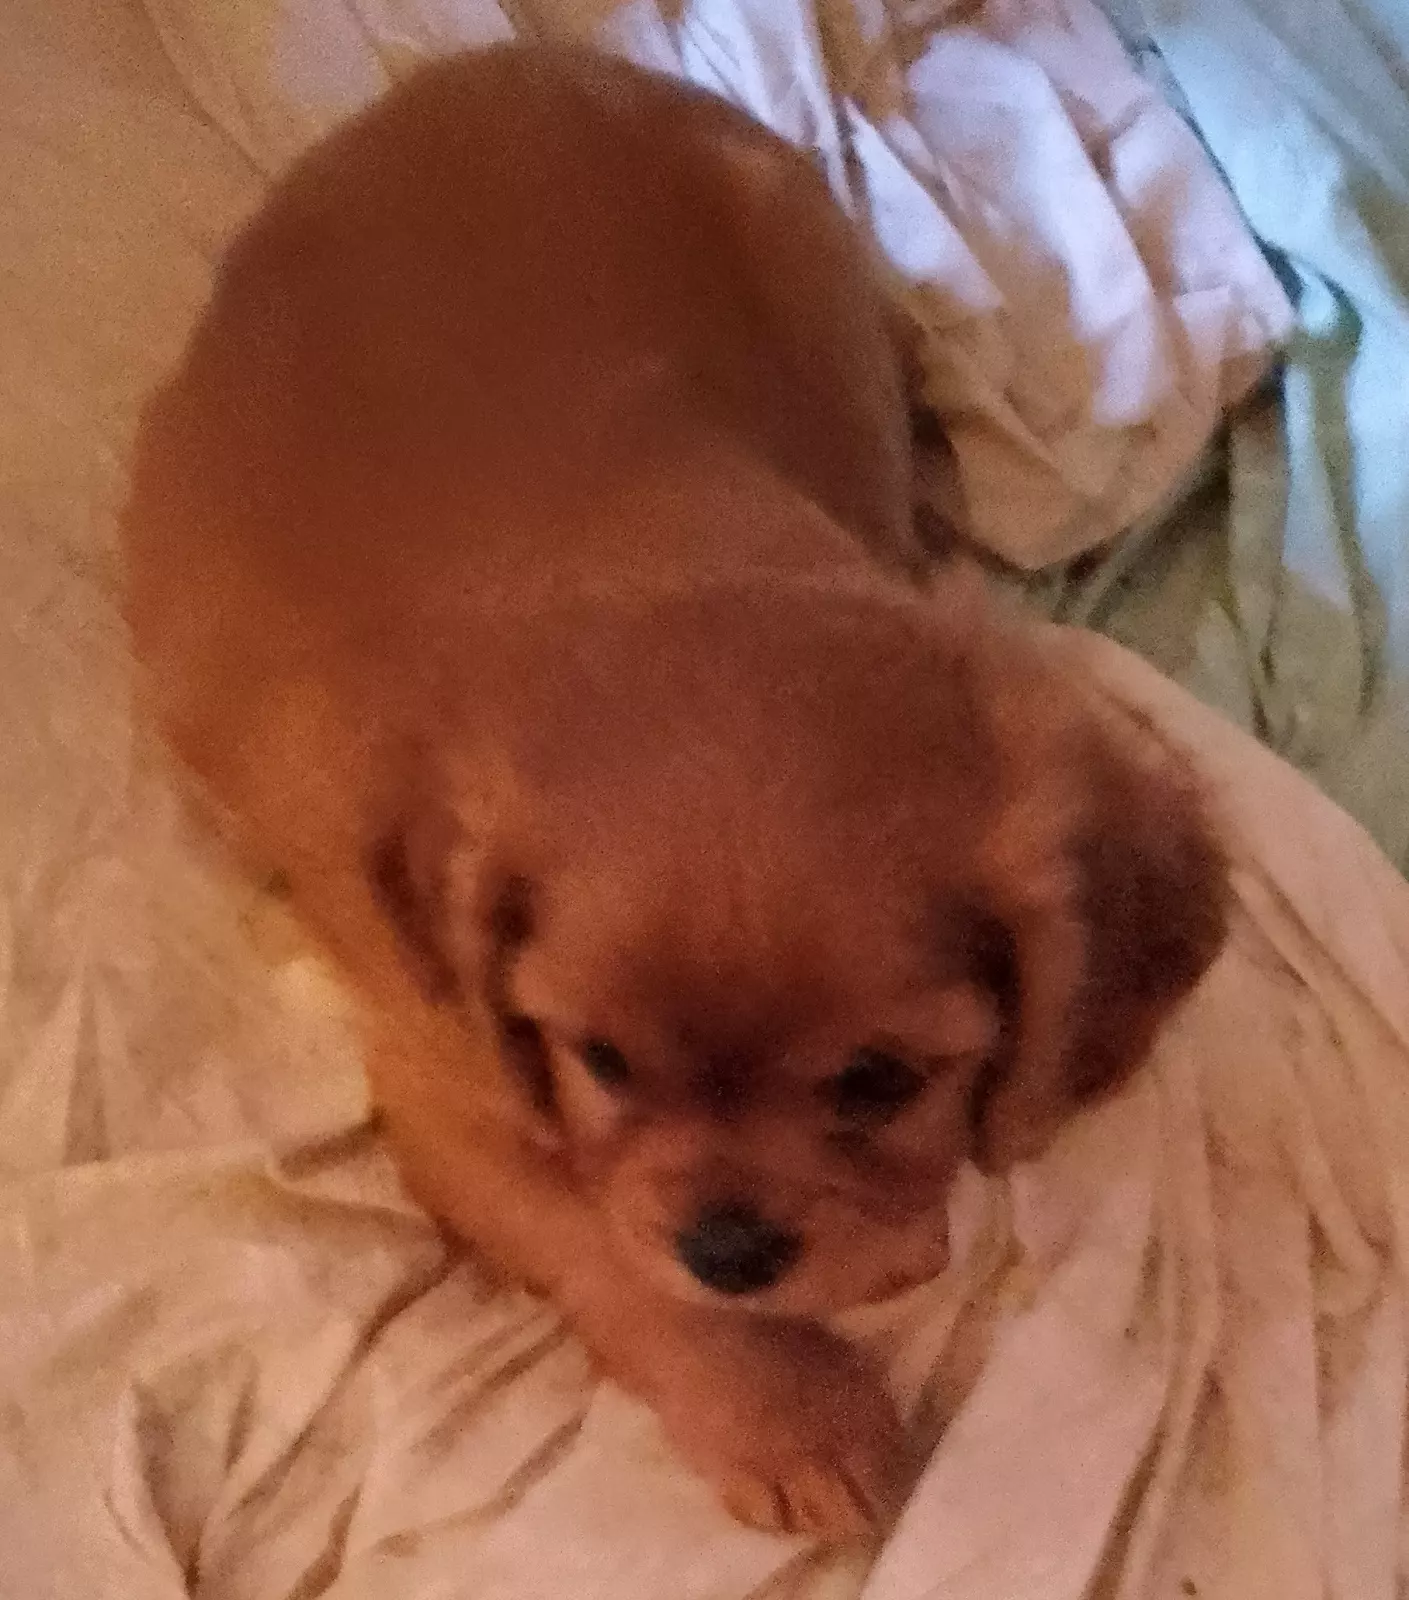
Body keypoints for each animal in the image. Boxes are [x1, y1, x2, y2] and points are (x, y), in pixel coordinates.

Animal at [121, 44, 1229, 1539]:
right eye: (596, 1059)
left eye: (878, 1079)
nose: (731, 1248)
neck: (658, 556)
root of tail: (501, 58)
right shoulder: (451, 1097)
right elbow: (607, 1246)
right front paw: (789, 1413)